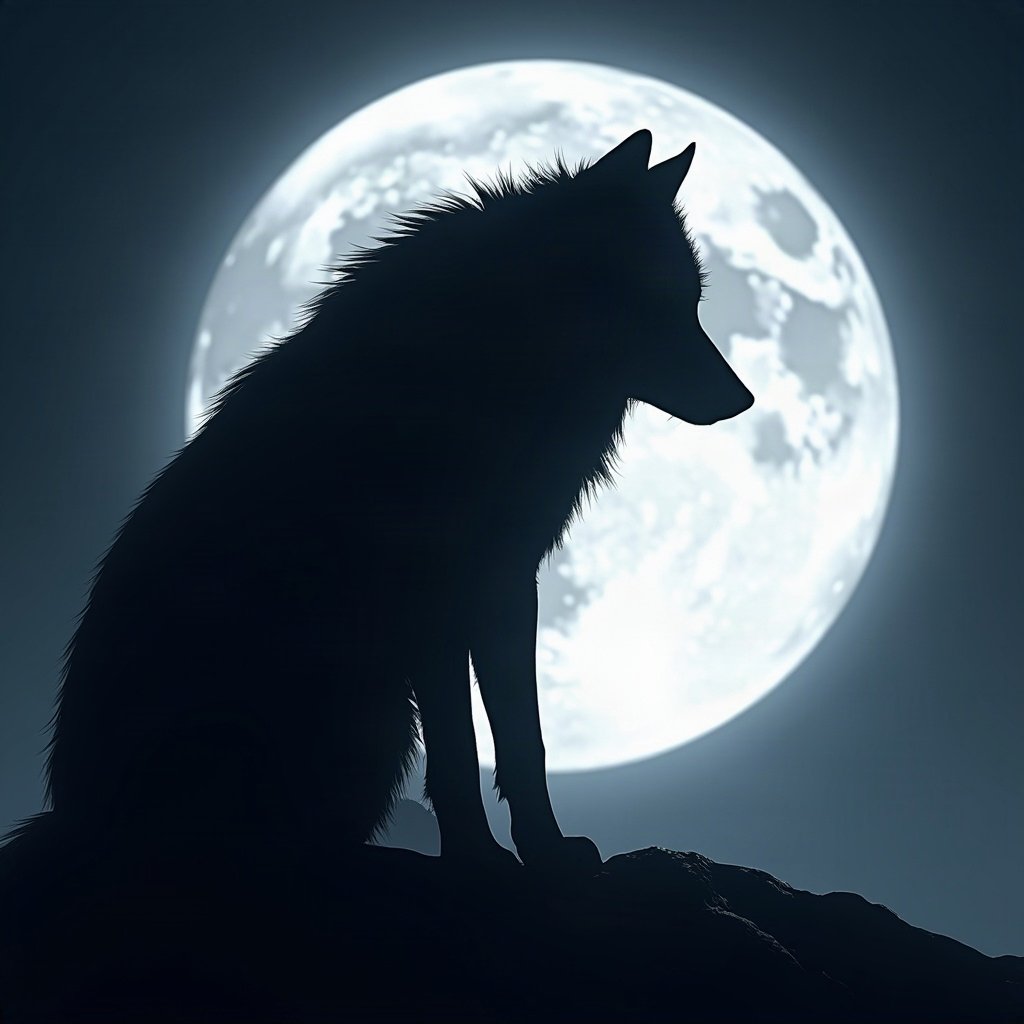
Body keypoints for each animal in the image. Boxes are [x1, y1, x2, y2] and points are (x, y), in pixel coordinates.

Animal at [9, 129, 752, 875]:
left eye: (694, 301)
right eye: (662, 303)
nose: (744, 399)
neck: (495, 359)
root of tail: (72, 821)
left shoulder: (506, 580)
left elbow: (523, 739)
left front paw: (543, 849)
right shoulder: (436, 590)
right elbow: (461, 748)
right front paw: (481, 857)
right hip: (361, 709)